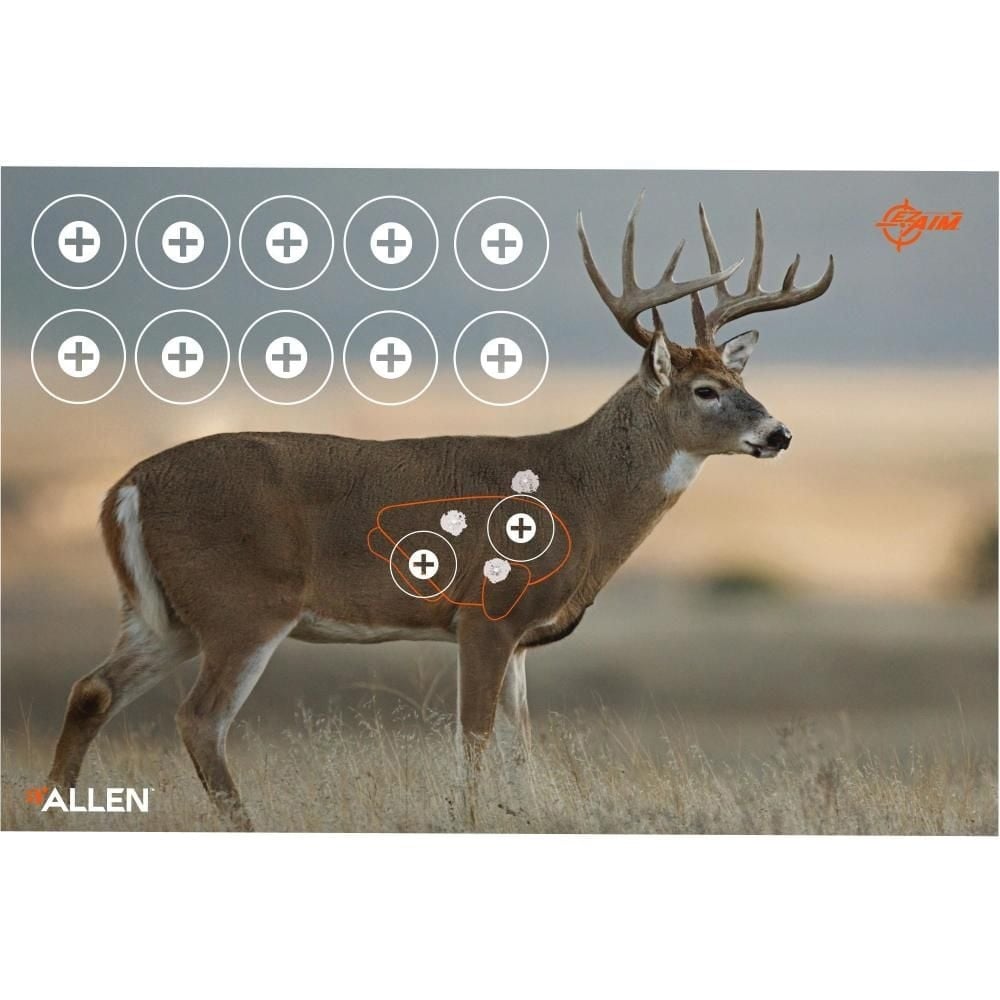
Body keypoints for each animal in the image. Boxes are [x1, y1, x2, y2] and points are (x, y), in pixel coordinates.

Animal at [47, 195, 834, 830]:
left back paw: (56, 810)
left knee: (92, 689)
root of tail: (126, 486)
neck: (578, 494)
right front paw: (470, 820)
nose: (780, 434)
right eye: (705, 390)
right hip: (243, 604)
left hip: (166, 614)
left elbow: (520, 745)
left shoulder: (520, 638)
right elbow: (476, 737)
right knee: (199, 718)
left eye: (741, 378)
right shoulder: (484, 614)